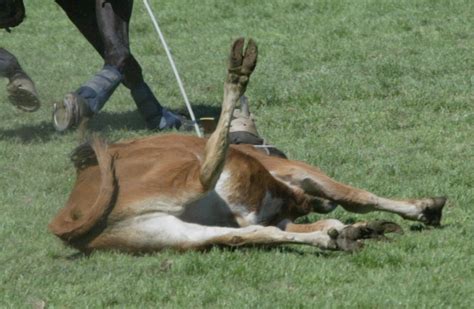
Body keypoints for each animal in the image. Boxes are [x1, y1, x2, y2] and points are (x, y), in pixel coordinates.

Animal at [50, 38, 446, 253]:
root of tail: (70, 213)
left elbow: (319, 217)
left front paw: (350, 229)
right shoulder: (292, 171)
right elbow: (355, 196)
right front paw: (422, 208)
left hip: (170, 232)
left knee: (252, 235)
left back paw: (330, 240)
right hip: (187, 184)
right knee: (207, 174)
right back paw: (237, 73)